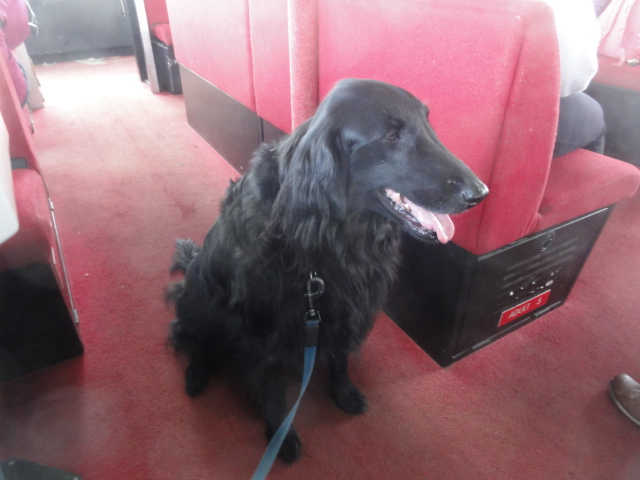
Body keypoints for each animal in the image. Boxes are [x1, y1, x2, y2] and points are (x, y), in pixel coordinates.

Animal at [166, 79, 488, 464]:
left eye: (429, 124)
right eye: (391, 136)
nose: (480, 193)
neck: (336, 236)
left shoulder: (343, 309)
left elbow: (340, 358)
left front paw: (344, 393)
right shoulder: (263, 329)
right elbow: (271, 388)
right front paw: (280, 436)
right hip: (198, 301)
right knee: (187, 335)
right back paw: (196, 374)